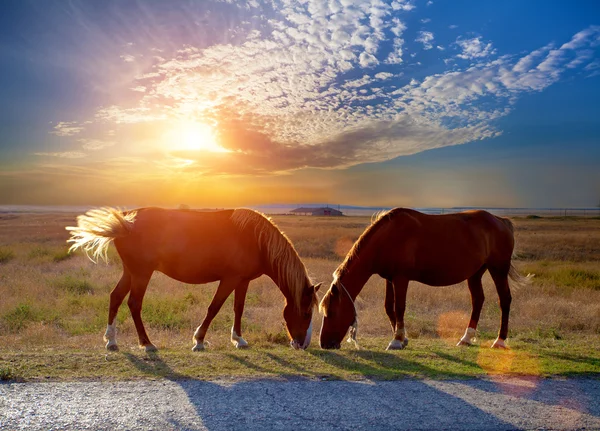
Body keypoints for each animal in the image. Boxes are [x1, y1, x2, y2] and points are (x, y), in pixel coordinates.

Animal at [66, 208, 322, 352]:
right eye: (306, 313)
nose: (304, 344)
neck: (256, 239)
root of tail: (126, 222)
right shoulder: (229, 279)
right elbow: (214, 308)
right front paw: (199, 340)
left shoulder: (242, 281)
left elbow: (238, 308)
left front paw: (238, 339)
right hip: (141, 273)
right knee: (134, 304)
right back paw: (146, 343)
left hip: (130, 272)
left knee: (116, 297)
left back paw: (111, 341)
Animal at [322, 208, 532, 352]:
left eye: (331, 312)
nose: (324, 343)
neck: (387, 238)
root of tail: (501, 221)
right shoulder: (390, 278)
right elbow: (389, 307)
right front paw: (403, 338)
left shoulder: (401, 278)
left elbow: (399, 307)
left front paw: (396, 340)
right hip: (475, 273)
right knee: (478, 300)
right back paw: (466, 338)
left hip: (498, 269)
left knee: (504, 300)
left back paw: (500, 341)